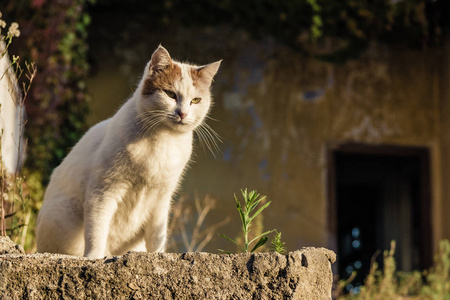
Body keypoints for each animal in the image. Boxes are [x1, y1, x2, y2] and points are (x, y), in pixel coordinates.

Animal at [37, 44, 221, 258]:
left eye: (196, 100)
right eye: (170, 94)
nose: (182, 113)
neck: (163, 140)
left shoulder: (161, 199)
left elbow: (156, 238)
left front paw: (158, 256)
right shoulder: (103, 192)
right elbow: (96, 231)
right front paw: (94, 257)